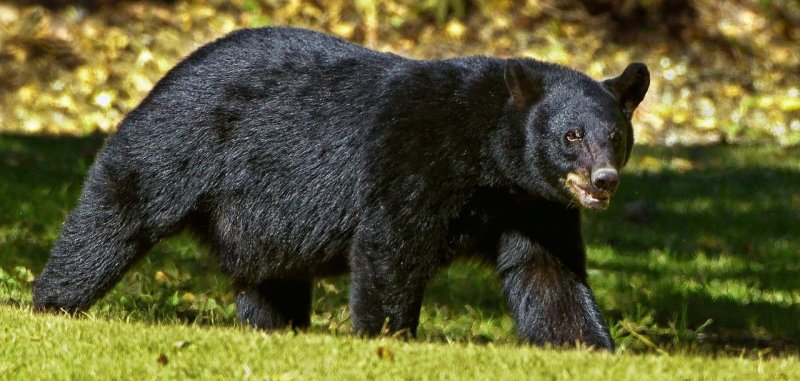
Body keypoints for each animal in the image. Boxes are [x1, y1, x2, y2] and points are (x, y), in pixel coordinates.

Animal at [32, 25, 648, 348]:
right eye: (571, 135)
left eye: (616, 136)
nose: (604, 179)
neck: (487, 156)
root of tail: (169, 71)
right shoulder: (415, 157)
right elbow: (391, 247)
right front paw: (388, 339)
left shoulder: (532, 202)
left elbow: (548, 272)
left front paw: (589, 346)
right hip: (178, 142)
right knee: (117, 214)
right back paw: (52, 302)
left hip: (260, 219)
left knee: (270, 278)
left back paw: (274, 328)